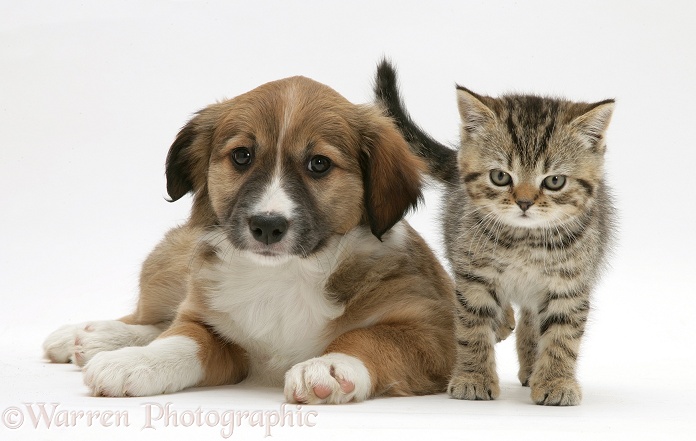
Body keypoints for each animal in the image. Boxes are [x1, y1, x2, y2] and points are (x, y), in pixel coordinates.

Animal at [43, 75, 456, 402]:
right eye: (241, 156)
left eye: (319, 164)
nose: (267, 226)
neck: (286, 276)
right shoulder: (206, 316)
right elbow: (182, 338)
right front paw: (137, 361)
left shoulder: (435, 332)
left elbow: (372, 339)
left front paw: (331, 366)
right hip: (165, 265)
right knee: (150, 318)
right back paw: (90, 335)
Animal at [376, 60, 616, 404]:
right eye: (500, 177)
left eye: (554, 181)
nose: (525, 202)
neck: (524, 240)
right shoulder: (473, 272)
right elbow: (472, 325)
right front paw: (474, 377)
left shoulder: (569, 283)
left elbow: (562, 335)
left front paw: (556, 381)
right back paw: (504, 325)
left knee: (531, 317)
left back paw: (531, 365)